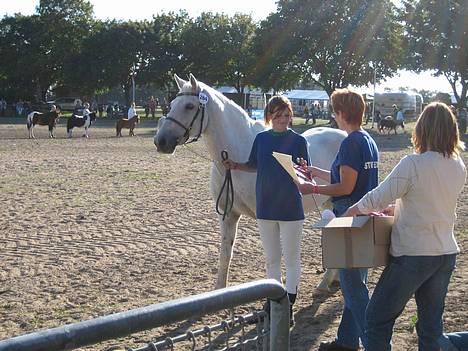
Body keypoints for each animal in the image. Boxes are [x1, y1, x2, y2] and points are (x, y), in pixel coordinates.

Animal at [155, 75, 342, 292]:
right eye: (171, 104)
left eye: (189, 106)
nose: (160, 141)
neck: (240, 152)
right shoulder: (228, 215)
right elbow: (225, 254)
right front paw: (220, 289)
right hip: (328, 203)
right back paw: (331, 280)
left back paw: (326, 282)